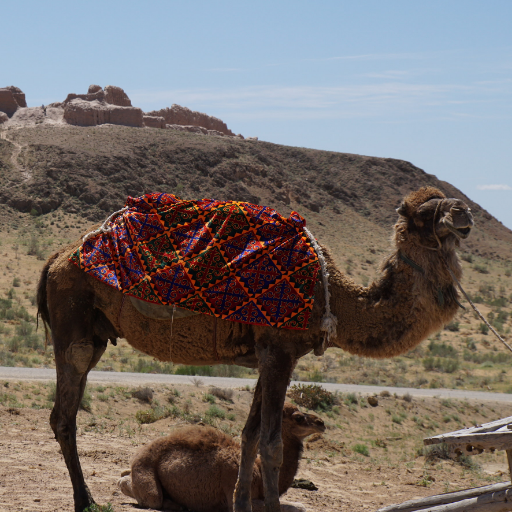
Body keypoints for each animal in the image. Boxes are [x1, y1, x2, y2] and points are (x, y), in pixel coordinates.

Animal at [119, 404, 324, 512]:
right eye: (298, 417)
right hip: (146, 470)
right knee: (149, 497)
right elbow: (298, 507)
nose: (321, 422)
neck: (258, 471)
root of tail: (136, 456)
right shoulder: (235, 493)